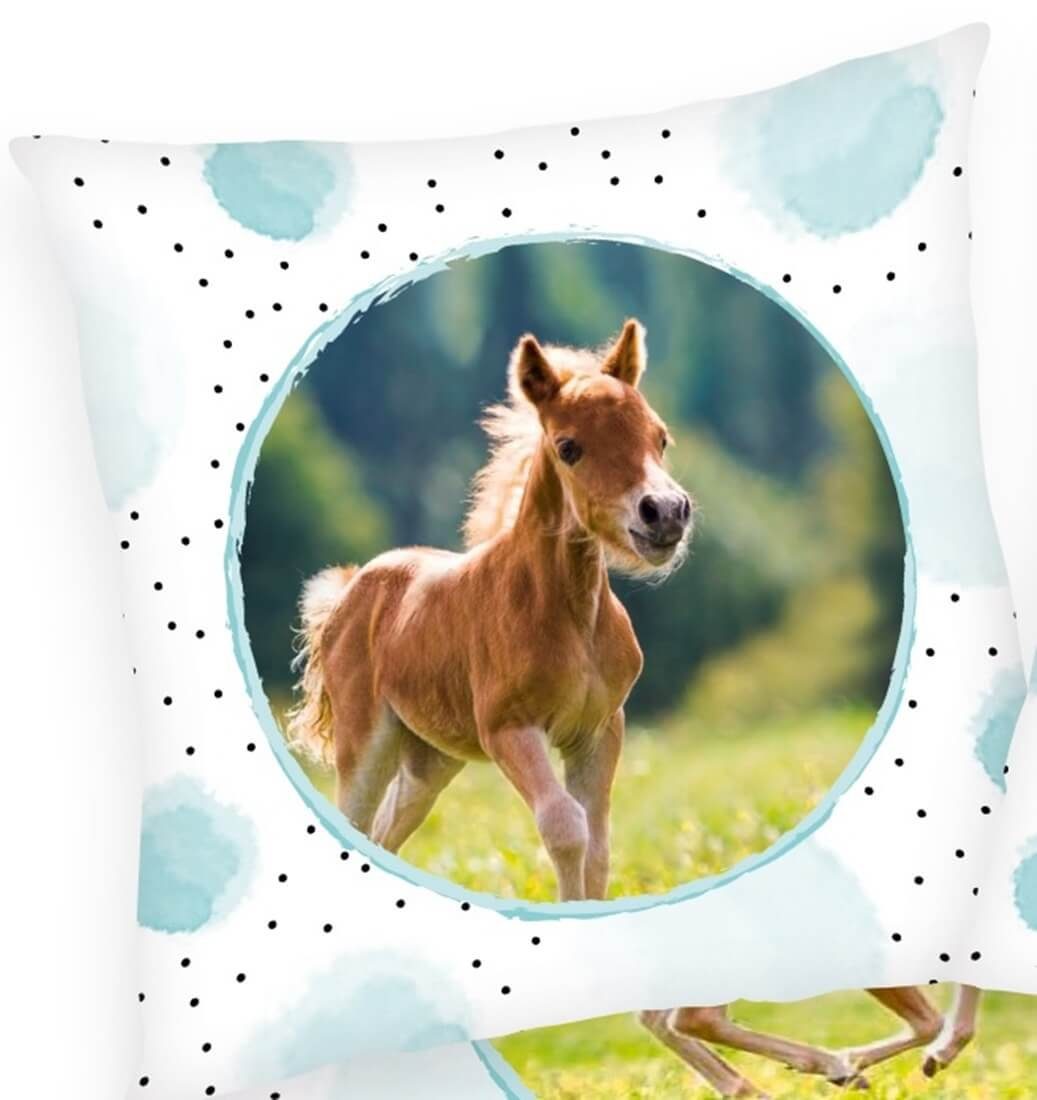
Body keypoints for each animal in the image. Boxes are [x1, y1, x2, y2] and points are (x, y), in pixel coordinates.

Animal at [287, 319, 693, 901]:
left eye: (659, 437)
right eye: (569, 447)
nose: (665, 513)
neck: (569, 614)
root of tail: (349, 590)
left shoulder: (599, 732)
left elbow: (598, 848)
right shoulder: (508, 729)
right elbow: (565, 828)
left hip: (430, 760)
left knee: (387, 833)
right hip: (364, 743)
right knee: (357, 820)